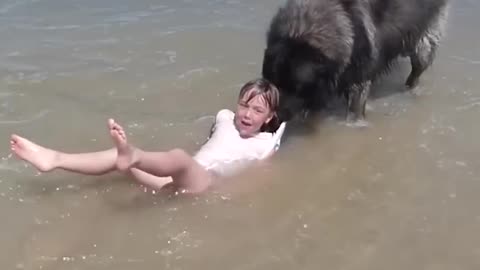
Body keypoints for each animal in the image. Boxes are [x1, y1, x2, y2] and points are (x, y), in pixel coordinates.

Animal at [260, 0, 448, 121]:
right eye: (275, 84)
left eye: (297, 88)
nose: (275, 119)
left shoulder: (358, 80)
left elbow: (353, 110)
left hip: (422, 43)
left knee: (417, 69)